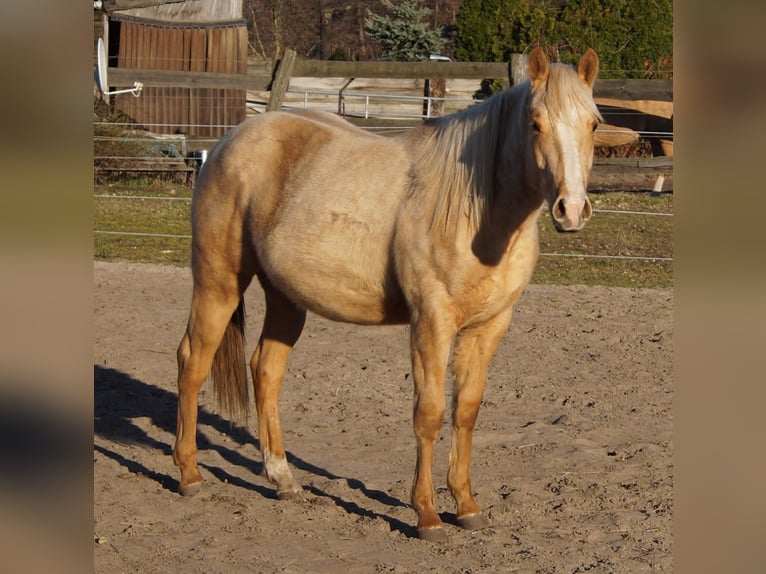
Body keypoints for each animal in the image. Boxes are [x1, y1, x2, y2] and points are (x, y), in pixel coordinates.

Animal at [177, 47, 604, 544]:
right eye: (535, 123)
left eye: (594, 124)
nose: (570, 210)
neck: (476, 213)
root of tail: (230, 141)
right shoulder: (431, 323)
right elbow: (430, 413)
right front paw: (428, 515)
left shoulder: (488, 327)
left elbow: (466, 411)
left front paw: (467, 506)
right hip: (218, 282)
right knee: (193, 362)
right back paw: (189, 475)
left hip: (286, 297)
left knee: (265, 371)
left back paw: (283, 480)